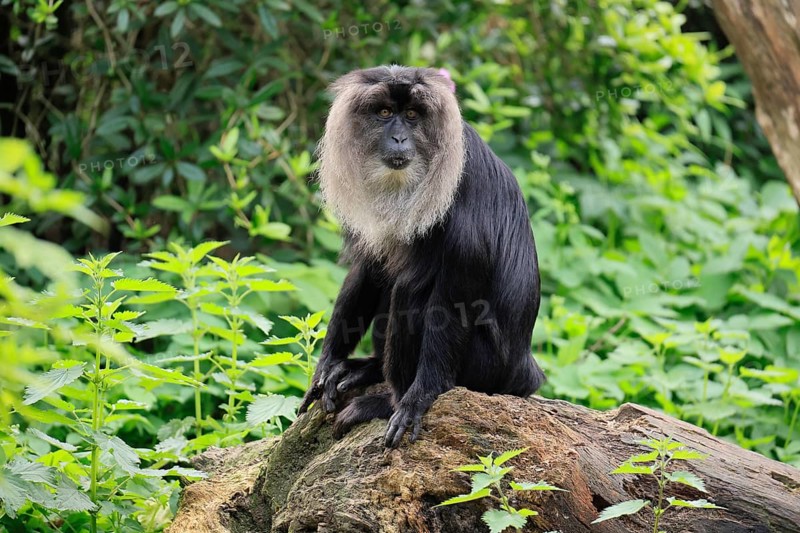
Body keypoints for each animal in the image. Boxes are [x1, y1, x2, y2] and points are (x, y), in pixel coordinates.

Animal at [298, 65, 545, 448]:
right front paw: (327, 364)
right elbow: (367, 268)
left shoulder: (462, 195)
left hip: (485, 368)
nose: (400, 139)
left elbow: (452, 303)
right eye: (385, 113)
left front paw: (416, 400)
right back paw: (366, 369)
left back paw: (386, 401)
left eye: (413, 116)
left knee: (411, 290)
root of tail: (524, 373)